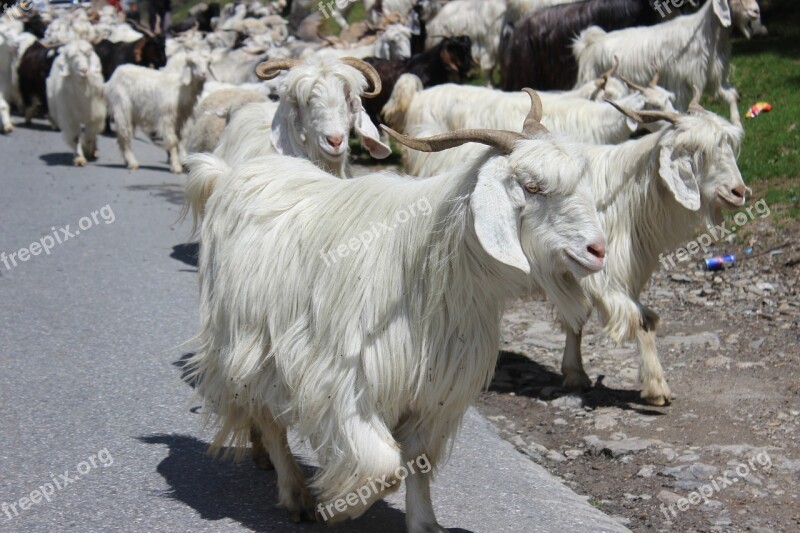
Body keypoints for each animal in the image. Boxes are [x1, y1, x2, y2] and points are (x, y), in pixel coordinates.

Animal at [183, 90, 608, 528]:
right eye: (532, 186)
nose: (597, 250)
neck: (433, 268)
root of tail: (228, 174)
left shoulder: (435, 392)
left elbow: (417, 459)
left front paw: (424, 523)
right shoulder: (344, 380)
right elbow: (383, 468)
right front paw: (340, 506)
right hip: (246, 341)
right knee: (268, 417)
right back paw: (296, 493)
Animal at [556, 94, 752, 404]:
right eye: (696, 152)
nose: (739, 192)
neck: (625, 198)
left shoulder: (626, 274)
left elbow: (635, 321)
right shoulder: (601, 273)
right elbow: (636, 319)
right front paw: (657, 387)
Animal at [576, 0, 764, 124]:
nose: (756, 11)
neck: (705, 35)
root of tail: (588, 44)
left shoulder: (715, 79)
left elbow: (732, 96)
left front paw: (737, 126)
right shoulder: (681, 84)